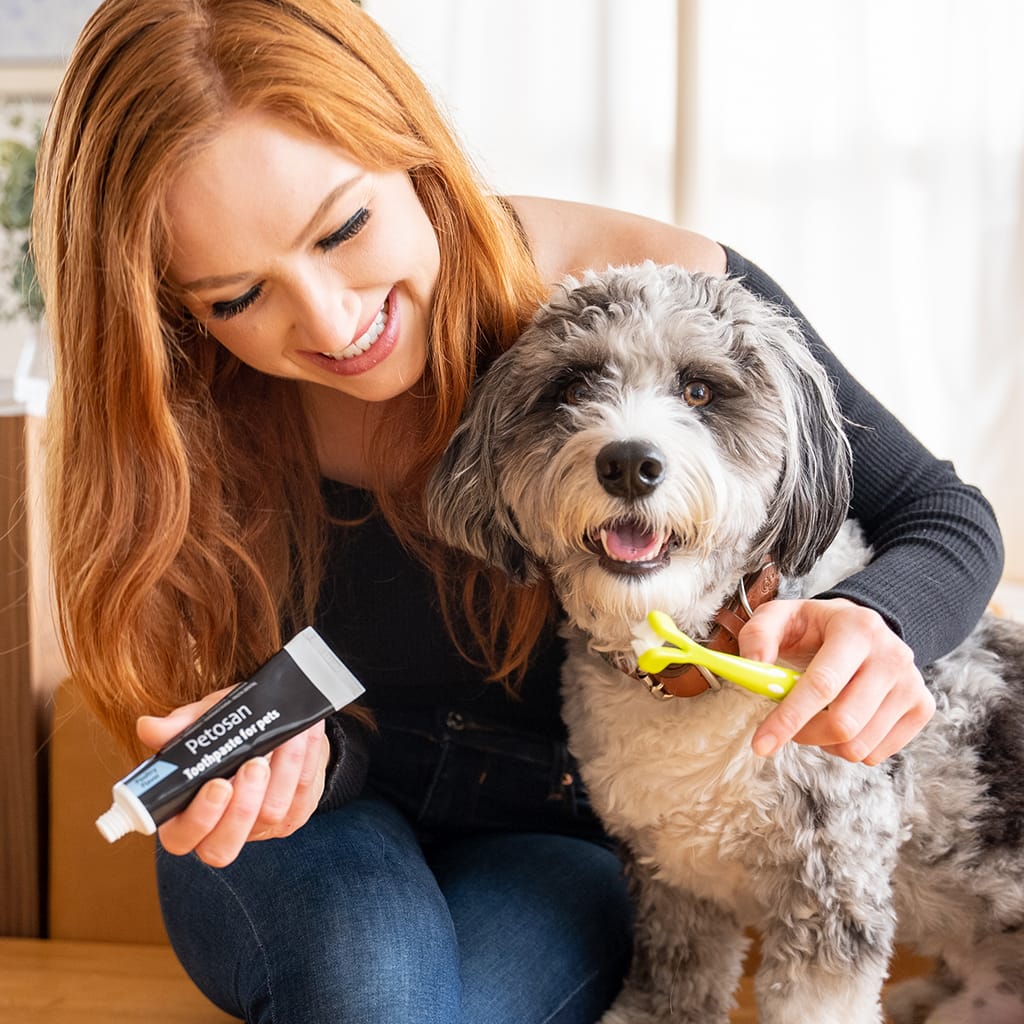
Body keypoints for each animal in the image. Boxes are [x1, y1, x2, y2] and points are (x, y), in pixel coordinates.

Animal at [423, 264, 1024, 1024]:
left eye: (700, 391)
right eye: (574, 387)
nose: (629, 463)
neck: (697, 654)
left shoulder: (831, 884)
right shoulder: (675, 883)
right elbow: (675, 986)